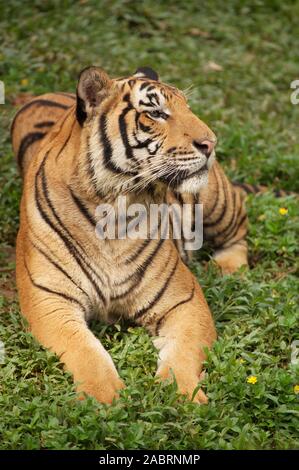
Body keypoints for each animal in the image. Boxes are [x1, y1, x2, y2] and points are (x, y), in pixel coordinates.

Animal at [10, 65, 250, 404]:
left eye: (187, 107)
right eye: (157, 113)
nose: (211, 143)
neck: (112, 210)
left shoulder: (183, 300)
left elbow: (183, 352)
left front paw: (183, 397)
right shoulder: (51, 300)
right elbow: (85, 351)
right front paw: (106, 401)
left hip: (215, 199)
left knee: (240, 227)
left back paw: (228, 268)